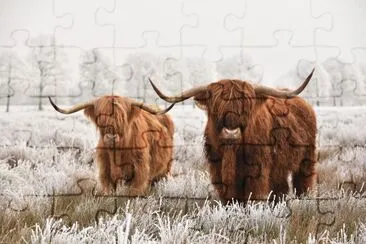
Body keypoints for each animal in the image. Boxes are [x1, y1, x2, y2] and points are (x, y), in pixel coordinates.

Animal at [149, 68, 318, 202]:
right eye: (216, 107)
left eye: (246, 107)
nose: (231, 133)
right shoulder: (218, 172)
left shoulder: (257, 174)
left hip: (306, 160)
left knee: (303, 183)